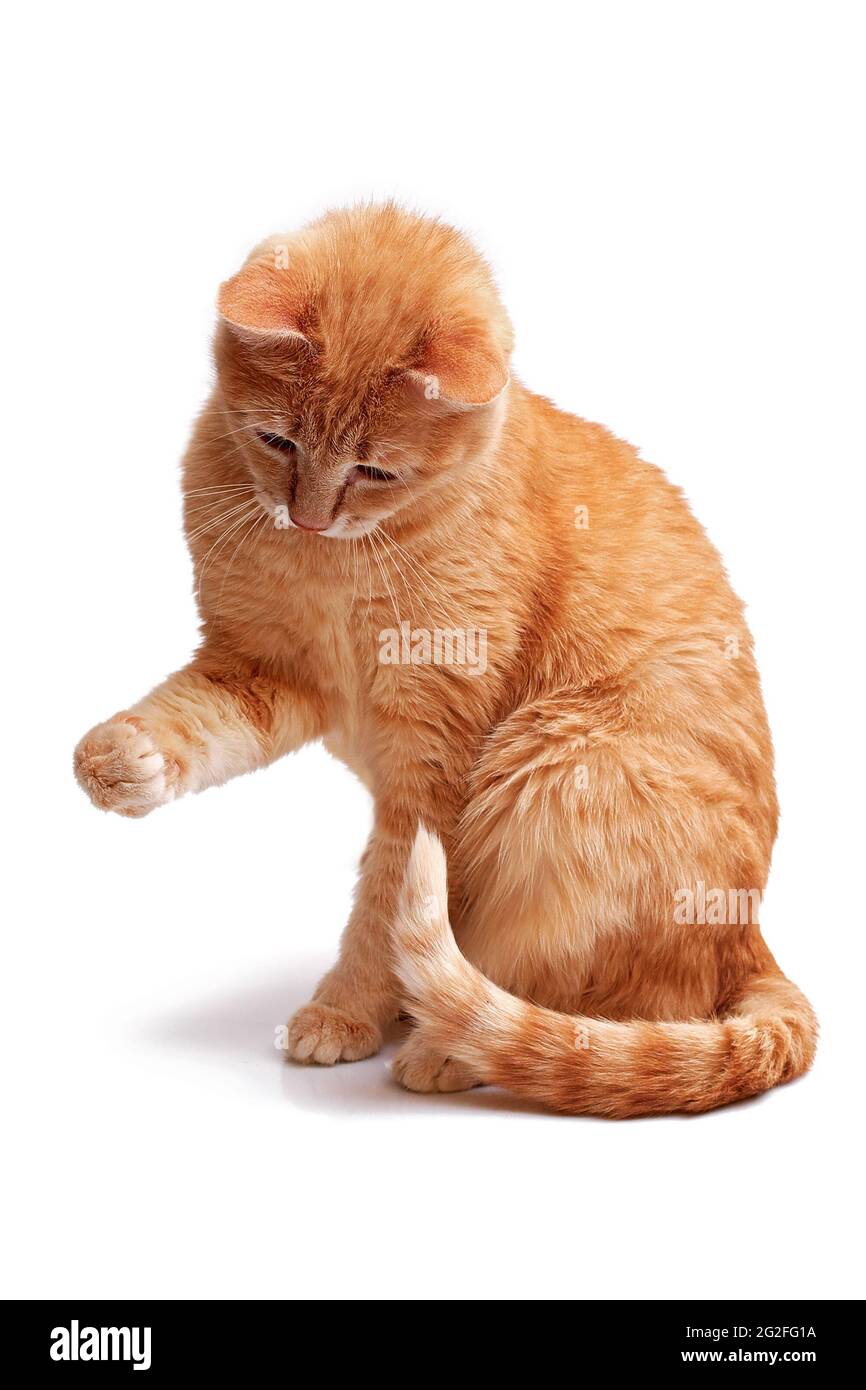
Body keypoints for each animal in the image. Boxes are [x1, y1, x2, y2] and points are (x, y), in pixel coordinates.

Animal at [72, 202, 811, 1117]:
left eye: (374, 469)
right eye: (276, 441)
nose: (309, 516)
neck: (337, 563)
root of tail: (749, 930)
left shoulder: (433, 757)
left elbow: (388, 899)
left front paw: (348, 1009)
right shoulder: (267, 671)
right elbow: (194, 722)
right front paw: (123, 761)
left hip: (560, 765)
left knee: (620, 1008)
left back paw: (458, 1045)